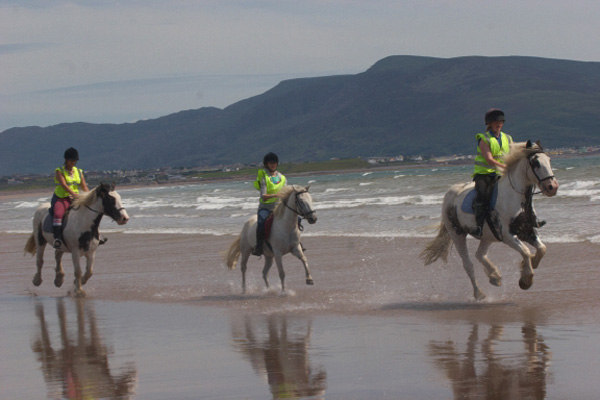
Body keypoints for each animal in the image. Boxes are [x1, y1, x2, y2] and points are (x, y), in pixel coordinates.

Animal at [422, 141, 556, 300]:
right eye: (536, 163)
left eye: (549, 160)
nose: (552, 187)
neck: (515, 198)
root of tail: (449, 193)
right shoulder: (507, 235)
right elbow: (526, 251)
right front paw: (525, 280)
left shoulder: (527, 230)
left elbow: (542, 249)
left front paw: (528, 265)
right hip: (457, 234)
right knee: (468, 264)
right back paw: (479, 293)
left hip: (488, 235)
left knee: (479, 254)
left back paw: (495, 277)